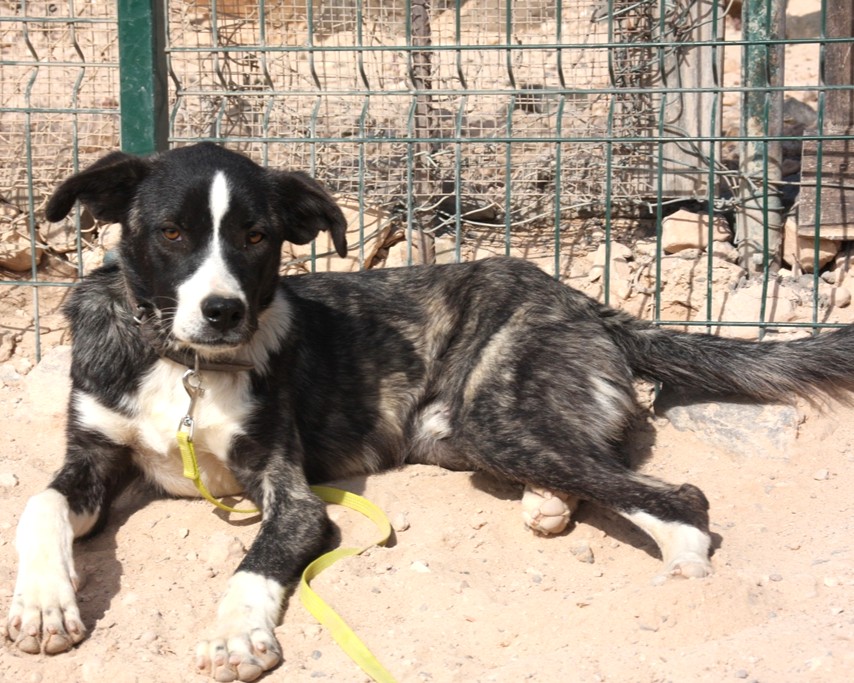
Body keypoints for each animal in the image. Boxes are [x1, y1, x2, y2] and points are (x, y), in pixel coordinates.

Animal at [6, 142, 854, 681]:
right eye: (172, 232)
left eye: (257, 236)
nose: (224, 311)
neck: (180, 365)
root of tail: (586, 303)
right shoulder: (92, 455)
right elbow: (38, 506)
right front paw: (44, 603)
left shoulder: (293, 496)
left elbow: (254, 563)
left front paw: (235, 632)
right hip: (475, 433)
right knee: (595, 470)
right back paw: (552, 504)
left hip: (494, 418)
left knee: (678, 495)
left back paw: (682, 556)